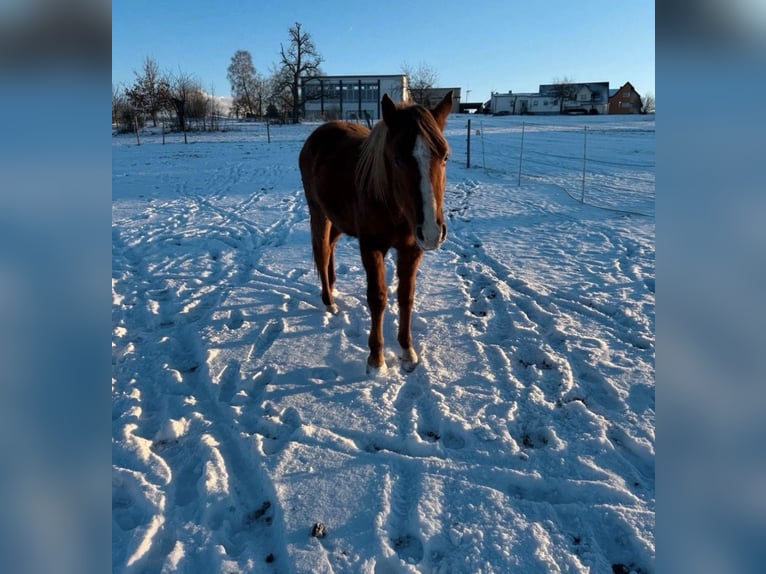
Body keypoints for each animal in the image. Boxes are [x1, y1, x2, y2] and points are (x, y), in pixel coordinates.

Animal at [299, 91, 453, 374]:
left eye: (445, 156)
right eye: (397, 159)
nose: (431, 231)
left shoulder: (411, 250)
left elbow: (405, 296)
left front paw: (407, 351)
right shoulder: (371, 248)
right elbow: (377, 298)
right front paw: (376, 358)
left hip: (339, 220)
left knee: (331, 247)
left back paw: (333, 287)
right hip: (319, 213)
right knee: (322, 252)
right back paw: (329, 301)